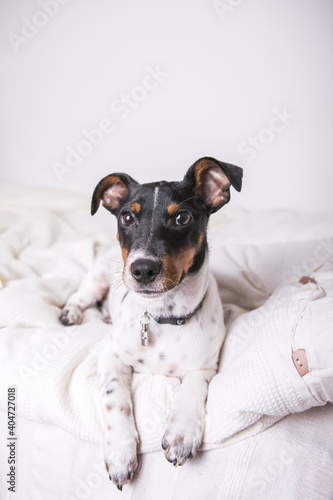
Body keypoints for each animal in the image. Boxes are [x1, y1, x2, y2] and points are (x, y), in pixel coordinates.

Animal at [59, 155, 241, 488]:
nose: (142, 269)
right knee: (80, 296)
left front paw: (182, 432)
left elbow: (193, 387)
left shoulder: (205, 366)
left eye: (182, 218)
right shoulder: (110, 355)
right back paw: (72, 312)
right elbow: (114, 399)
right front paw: (120, 453)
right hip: (97, 278)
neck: (164, 316)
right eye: (127, 218)